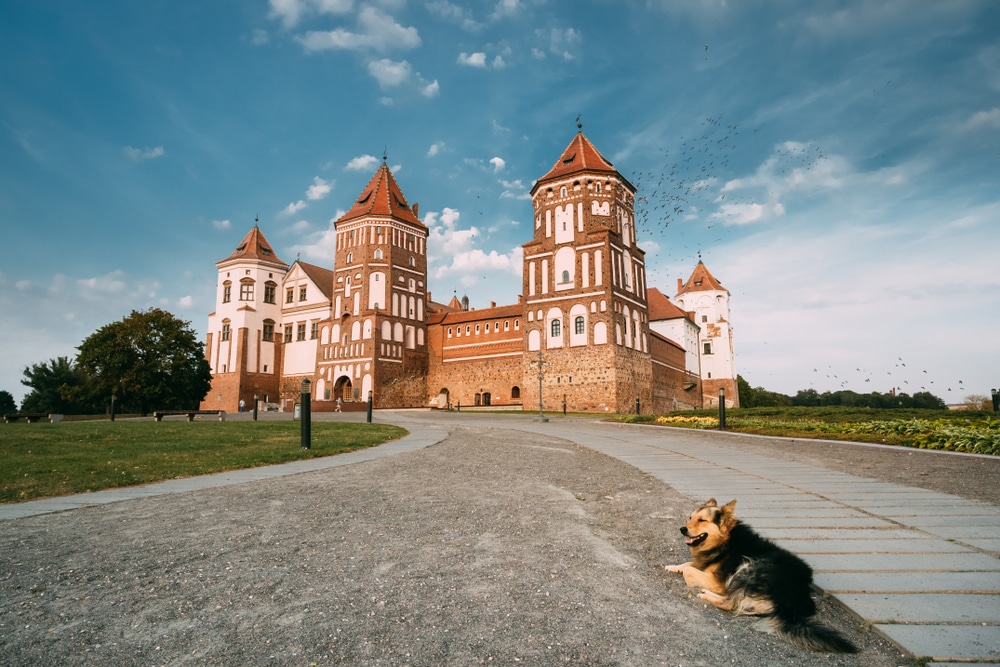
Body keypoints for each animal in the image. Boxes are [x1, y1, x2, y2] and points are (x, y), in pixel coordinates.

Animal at [664, 500, 860, 652]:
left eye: (702, 520)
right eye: (690, 517)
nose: (682, 529)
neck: (725, 541)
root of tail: (795, 600)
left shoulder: (718, 580)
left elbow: (690, 570)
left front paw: (688, 577)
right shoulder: (705, 565)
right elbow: (688, 565)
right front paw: (672, 566)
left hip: (749, 566)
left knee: (729, 603)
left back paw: (706, 594)